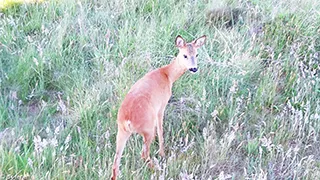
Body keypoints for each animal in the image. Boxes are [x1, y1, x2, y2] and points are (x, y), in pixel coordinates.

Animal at [112, 34, 208, 179]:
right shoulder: (161, 106)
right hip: (147, 129)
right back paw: (158, 169)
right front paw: (162, 153)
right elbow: (161, 130)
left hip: (122, 132)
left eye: (196, 54)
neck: (167, 75)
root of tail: (127, 120)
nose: (194, 68)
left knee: (115, 163)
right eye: (185, 55)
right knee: (144, 153)